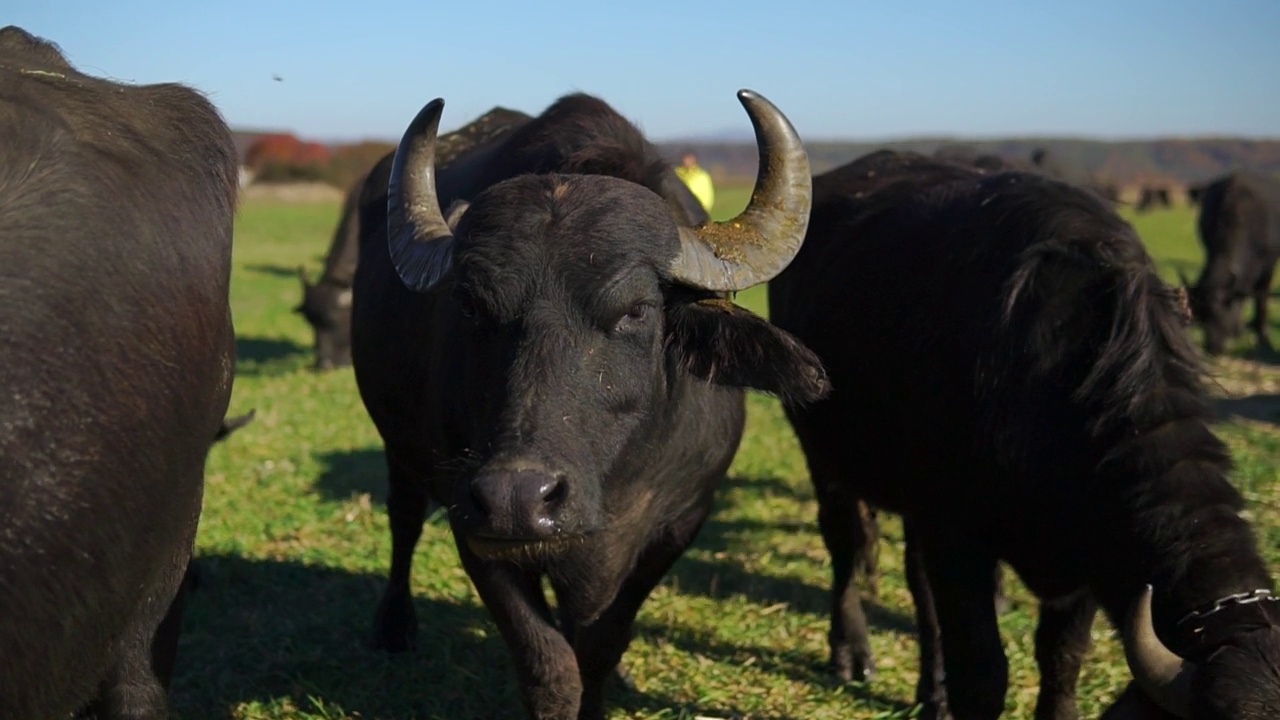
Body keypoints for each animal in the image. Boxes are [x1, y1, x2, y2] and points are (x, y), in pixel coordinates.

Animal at [348, 90, 829, 717]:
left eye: (637, 310)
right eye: (472, 307)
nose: (518, 497)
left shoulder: (679, 522)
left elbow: (600, 647)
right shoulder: (472, 520)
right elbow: (549, 664)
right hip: (400, 448)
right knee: (403, 518)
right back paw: (392, 626)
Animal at [1177, 171, 1280, 356]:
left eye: (1223, 311)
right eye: (1202, 316)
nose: (1213, 347)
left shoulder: (1269, 264)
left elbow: (1261, 297)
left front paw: (1263, 338)